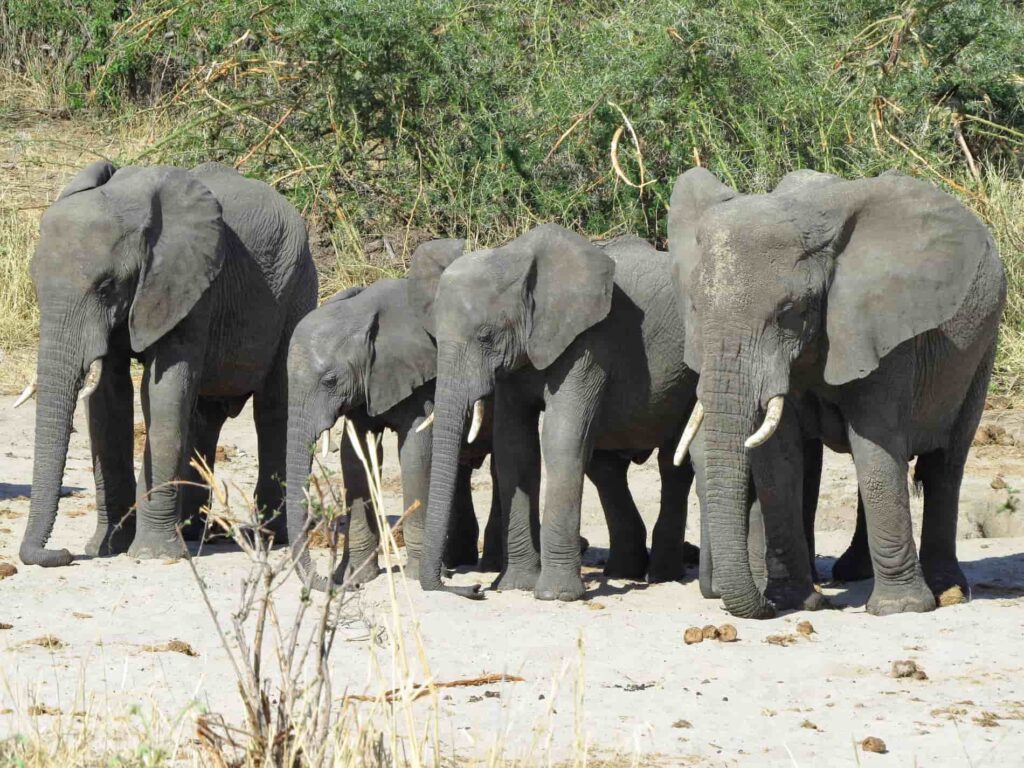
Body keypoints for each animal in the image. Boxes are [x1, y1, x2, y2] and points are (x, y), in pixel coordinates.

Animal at [18, 159, 315, 565]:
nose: (61, 553)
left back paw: (268, 536)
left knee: (273, 409)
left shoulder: (190, 285)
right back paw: (193, 531)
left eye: (106, 286)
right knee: (204, 416)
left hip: (297, 289)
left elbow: (163, 394)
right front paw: (107, 548)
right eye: (35, 283)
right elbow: (110, 400)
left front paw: (152, 555)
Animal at [284, 249, 499, 593]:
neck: (362, 312)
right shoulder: (366, 386)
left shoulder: (423, 377)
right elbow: (355, 457)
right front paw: (356, 577)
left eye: (330, 381)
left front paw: (411, 575)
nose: (331, 584)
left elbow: (416, 453)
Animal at [411, 225, 700, 606]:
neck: (514, 258)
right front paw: (515, 585)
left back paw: (663, 575)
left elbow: (561, 439)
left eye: (486, 336)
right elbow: (515, 448)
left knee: (672, 464)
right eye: (433, 338)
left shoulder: (589, 341)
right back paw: (624, 573)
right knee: (605, 468)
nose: (472, 588)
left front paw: (555, 595)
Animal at [667, 167, 1003, 618]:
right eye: (695, 309)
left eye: (789, 312)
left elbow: (875, 446)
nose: (763, 605)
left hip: (982, 347)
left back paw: (947, 589)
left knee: (945, 463)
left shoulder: (884, 329)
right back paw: (853, 573)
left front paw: (900, 609)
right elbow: (781, 458)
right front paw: (794, 600)